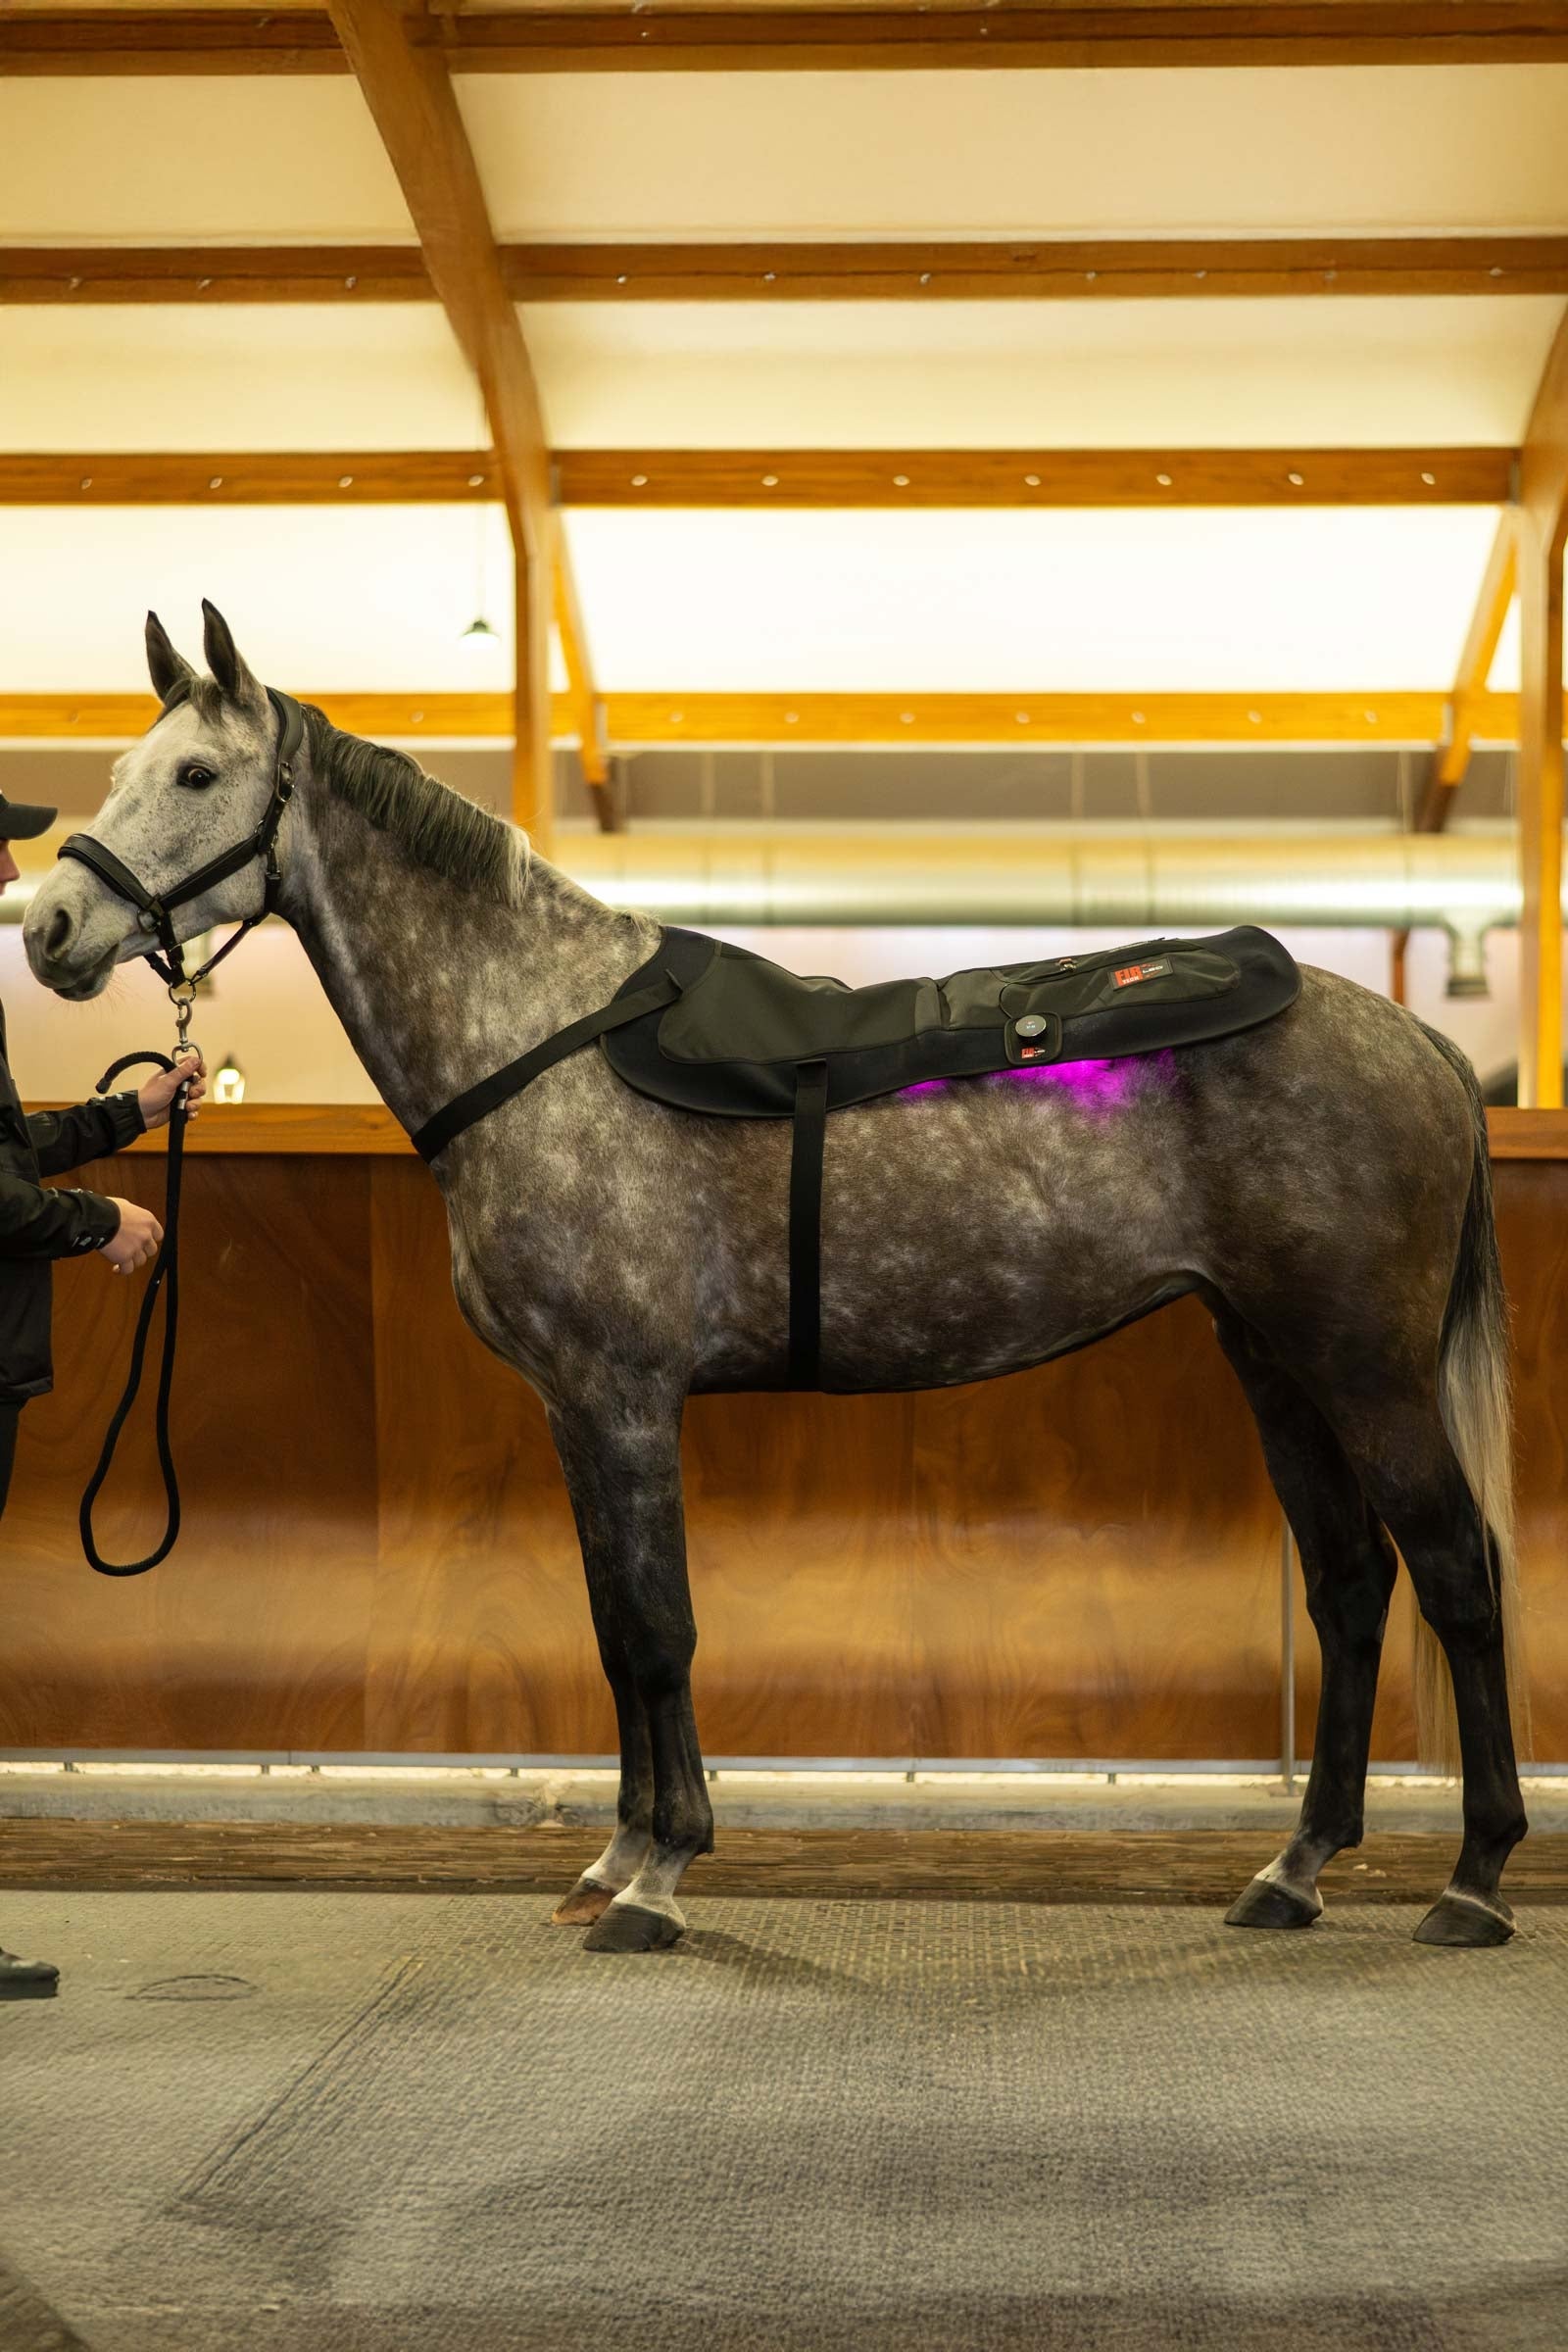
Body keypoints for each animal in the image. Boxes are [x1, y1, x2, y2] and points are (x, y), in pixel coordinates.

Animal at [23, 604, 1529, 1956]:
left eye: (195, 777)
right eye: (117, 774)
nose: (50, 929)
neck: (538, 1039)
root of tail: (1413, 1038)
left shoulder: (628, 1399)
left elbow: (660, 1628)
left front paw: (659, 1876)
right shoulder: (574, 1411)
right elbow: (612, 1627)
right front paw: (613, 1856)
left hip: (1363, 1365)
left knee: (1457, 1571)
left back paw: (1474, 1879)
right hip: (1273, 1358)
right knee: (1349, 1584)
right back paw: (1295, 1869)